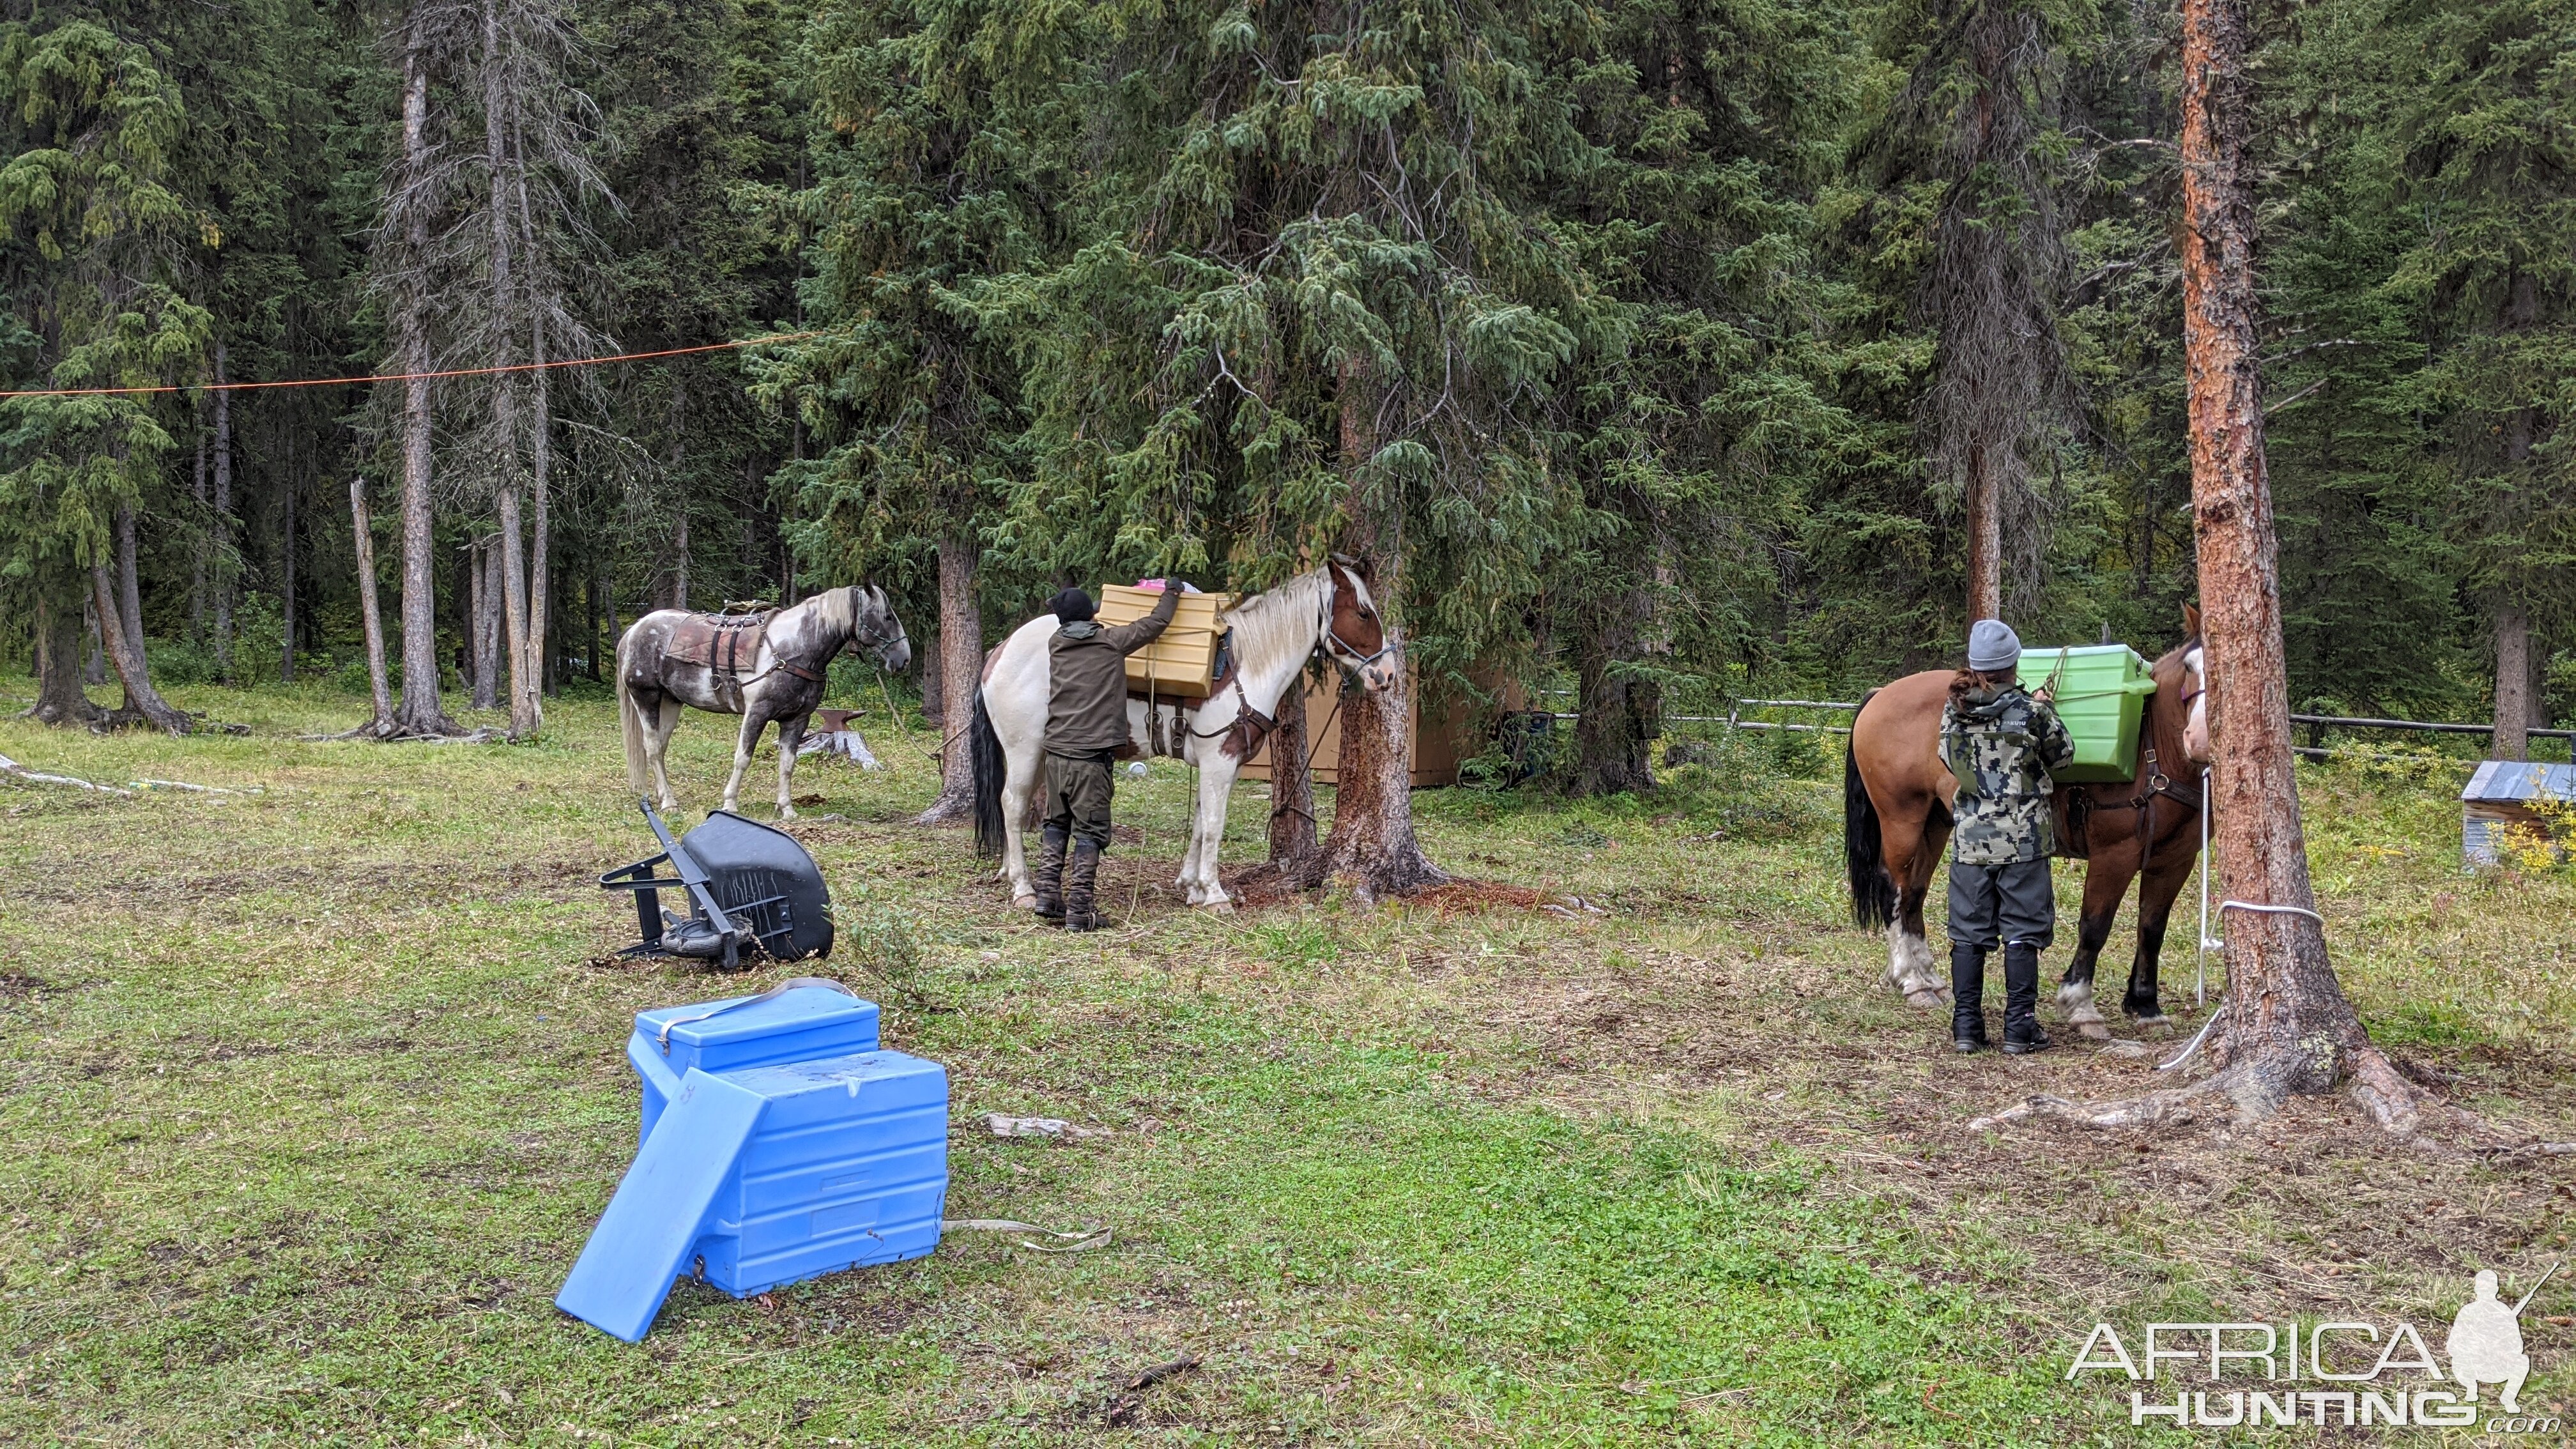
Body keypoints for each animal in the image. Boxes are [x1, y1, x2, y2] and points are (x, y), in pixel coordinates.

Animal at [618, 583, 912, 815]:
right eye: (887, 616)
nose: (904, 659)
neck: (792, 652)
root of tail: (634, 630)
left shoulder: (797, 720)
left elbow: (787, 764)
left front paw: (786, 808)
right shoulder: (757, 713)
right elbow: (743, 758)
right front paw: (730, 803)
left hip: (671, 702)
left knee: (660, 747)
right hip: (646, 698)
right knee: (653, 748)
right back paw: (669, 803)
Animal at [969, 559, 1401, 907]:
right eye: (1363, 613)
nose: (1388, 675)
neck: (1246, 668)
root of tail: (1000, 650)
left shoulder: (1220, 765)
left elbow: (1199, 822)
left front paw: (1193, 888)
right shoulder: (1219, 760)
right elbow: (1214, 825)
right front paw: (1215, 893)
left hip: (1041, 752)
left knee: (1016, 805)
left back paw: (1010, 873)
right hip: (1025, 749)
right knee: (1013, 804)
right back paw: (1023, 888)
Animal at [1834, 603, 2215, 1021]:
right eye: (2191, 667)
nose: (2200, 740)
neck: (2153, 750)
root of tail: (1881, 694)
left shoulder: (2176, 860)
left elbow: (2152, 926)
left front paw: (2145, 1003)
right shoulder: (2115, 854)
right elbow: (2095, 925)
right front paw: (2079, 1002)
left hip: (1936, 822)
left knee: (1915, 893)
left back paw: (1928, 977)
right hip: (1902, 818)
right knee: (1894, 888)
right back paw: (1909, 979)